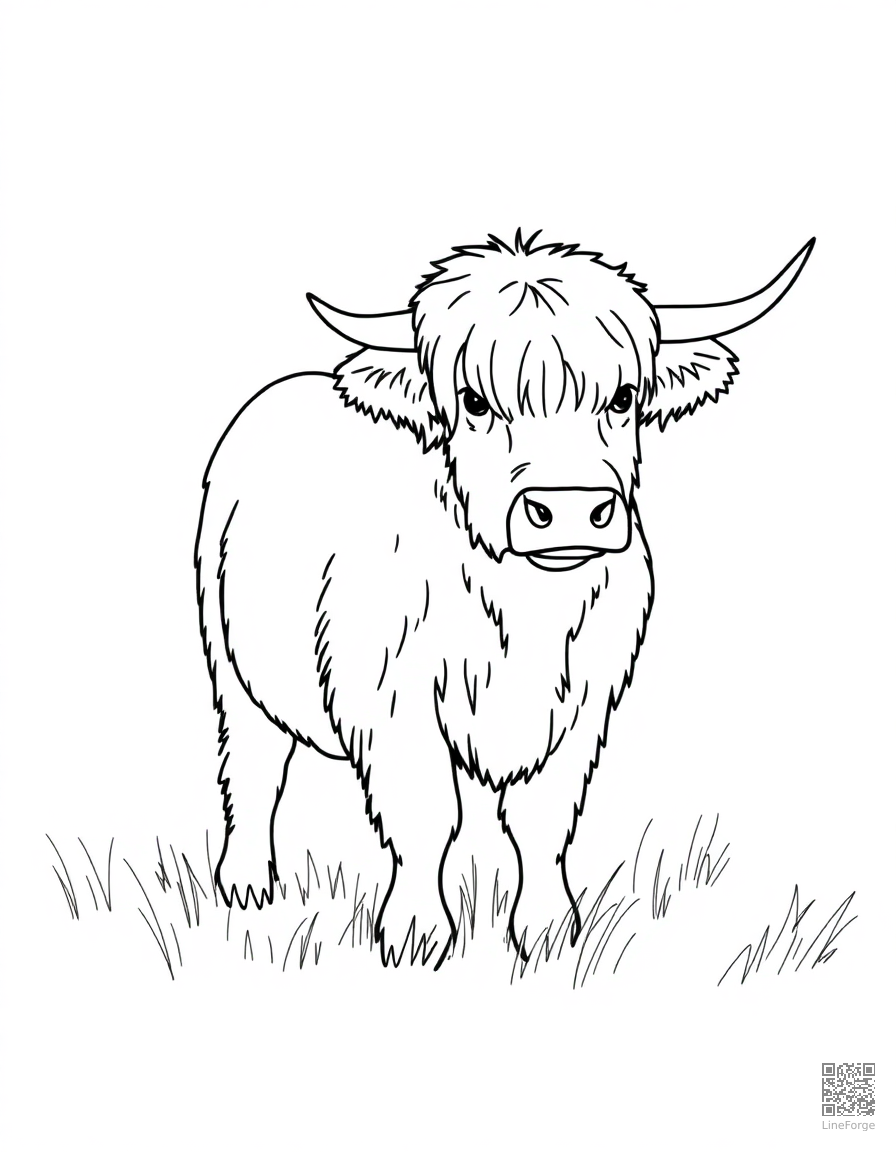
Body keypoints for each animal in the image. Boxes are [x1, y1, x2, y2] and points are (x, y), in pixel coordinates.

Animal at [195, 230, 813, 967]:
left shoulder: (582, 707)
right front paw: (415, 933)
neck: (525, 615)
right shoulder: (393, 704)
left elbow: (541, 822)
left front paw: (545, 931)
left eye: (623, 398)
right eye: (474, 402)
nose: (570, 510)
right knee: (253, 769)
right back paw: (246, 883)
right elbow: (427, 816)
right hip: (229, 665)